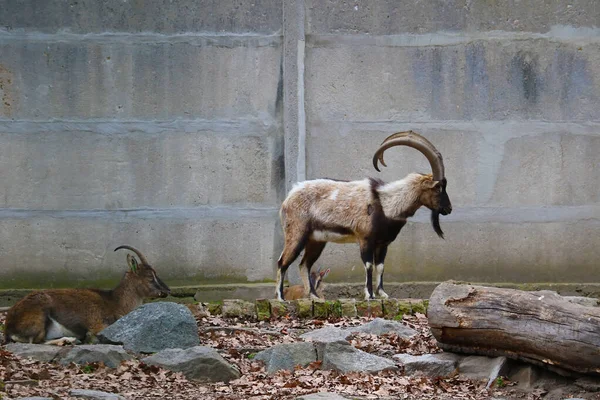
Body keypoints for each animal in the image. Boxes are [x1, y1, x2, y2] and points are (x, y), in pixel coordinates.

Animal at [4, 245, 170, 346]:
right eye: (150, 277)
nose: (167, 291)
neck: (115, 302)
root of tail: (9, 326)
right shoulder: (97, 325)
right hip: (40, 318)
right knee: (37, 341)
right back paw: (68, 340)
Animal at [276, 131, 450, 300]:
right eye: (438, 187)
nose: (448, 209)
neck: (386, 204)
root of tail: (289, 197)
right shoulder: (365, 239)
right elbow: (369, 265)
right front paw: (370, 295)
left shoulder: (383, 243)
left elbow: (380, 266)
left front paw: (383, 294)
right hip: (296, 233)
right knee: (282, 262)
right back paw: (281, 298)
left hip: (316, 240)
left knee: (304, 264)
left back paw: (314, 296)